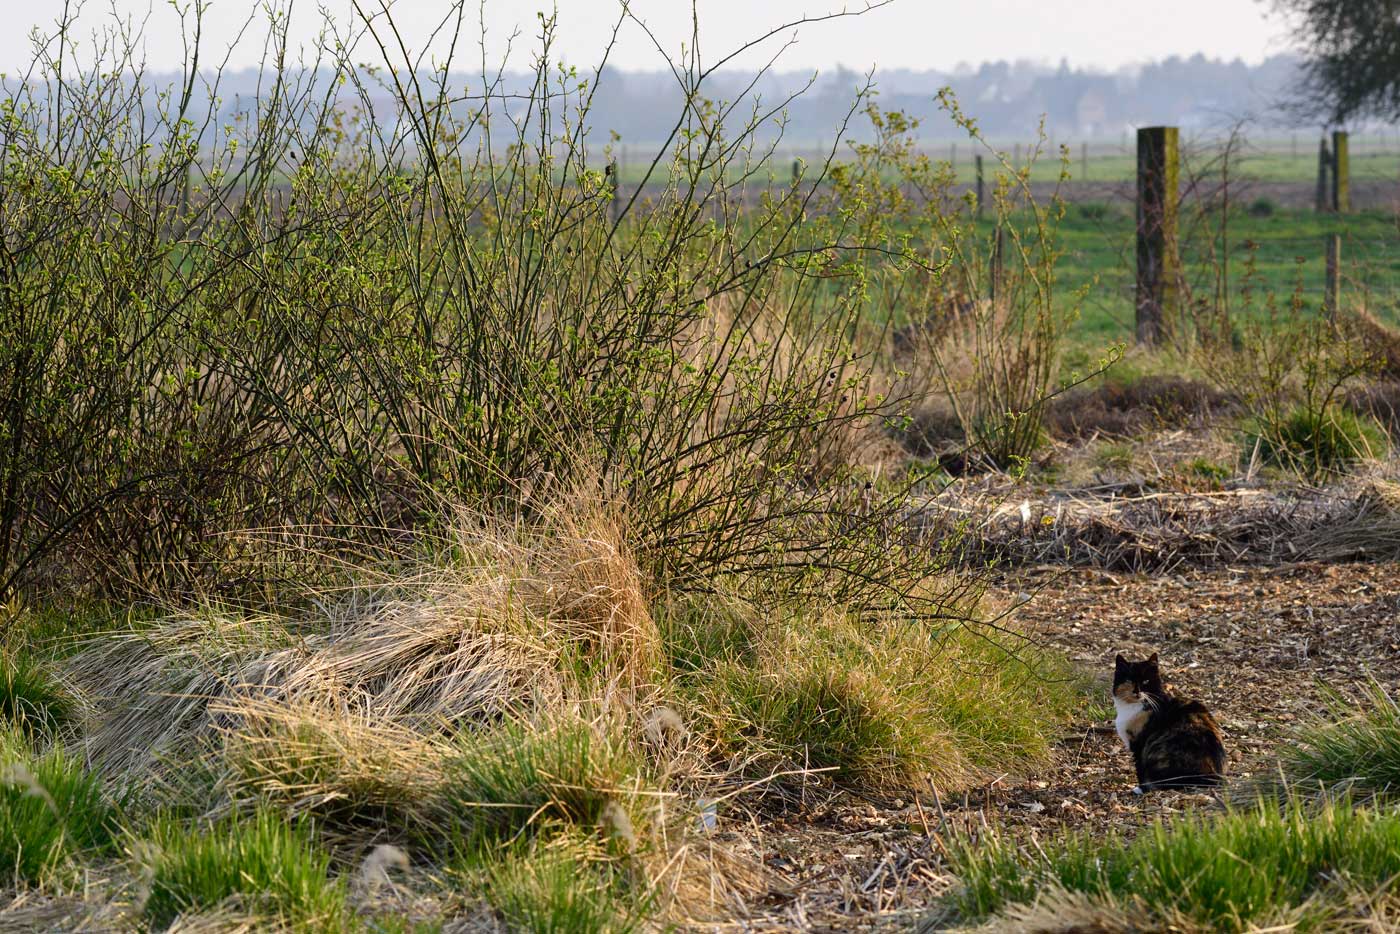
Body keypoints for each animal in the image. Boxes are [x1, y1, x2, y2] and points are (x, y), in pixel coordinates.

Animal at [1114, 655, 1226, 795]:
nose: (1137, 692)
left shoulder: (1140, 744)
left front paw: (1141, 788)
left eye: (1146, 681)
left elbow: (1140, 769)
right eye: (1129, 680)